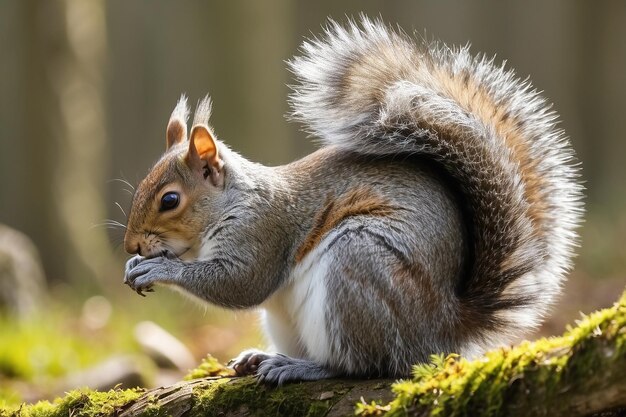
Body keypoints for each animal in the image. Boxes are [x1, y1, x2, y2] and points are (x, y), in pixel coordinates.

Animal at [122, 18, 580, 384]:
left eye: (169, 200)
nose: (131, 246)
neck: (232, 202)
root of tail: (445, 328)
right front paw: (136, 265)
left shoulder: (262, 231)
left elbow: (240, 283)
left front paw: (157, 267)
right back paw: (262, 356)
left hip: (356, 266)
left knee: (362, 364)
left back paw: (302, 367)